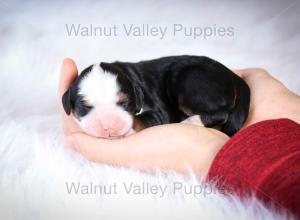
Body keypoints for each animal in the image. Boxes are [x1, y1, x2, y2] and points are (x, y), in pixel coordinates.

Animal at [62, 55, 250, 138]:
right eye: (86, 107)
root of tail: (234, 77)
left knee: (220, 113)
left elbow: (140, 119)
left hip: (191, 82)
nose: (109, 127)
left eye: (124, 103)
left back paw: (189, 122)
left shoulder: (158, 111)